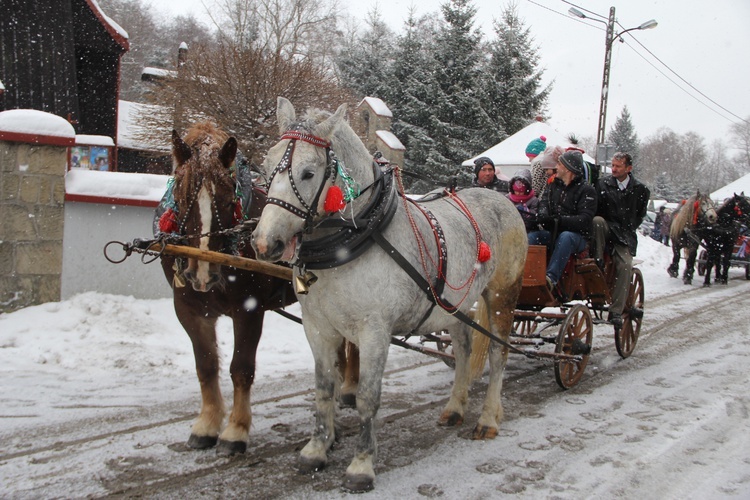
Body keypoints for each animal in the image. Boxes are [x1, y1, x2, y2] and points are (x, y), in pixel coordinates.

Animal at [157, 121, 296, 454]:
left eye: (226, 198)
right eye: (180, 196)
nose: (202, 274)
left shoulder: (249, 309)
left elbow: (241, 368)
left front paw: (235, 430)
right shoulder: (189, 309)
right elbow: (206, 366)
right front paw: (206, 424)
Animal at [253, 97, 528, 492]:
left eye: (307, 172)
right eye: (265, 165)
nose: (264, 243)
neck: (353, 239)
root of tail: (499, 198)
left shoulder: (374, 330)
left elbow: (367, 397)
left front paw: (361, 465)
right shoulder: (317, 326)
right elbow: (323, 389)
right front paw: (316, 450)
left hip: (503, 293)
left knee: (497, 353)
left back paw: (488, 419)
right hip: (454, 303)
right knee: (462, 350)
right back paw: (455, 407)